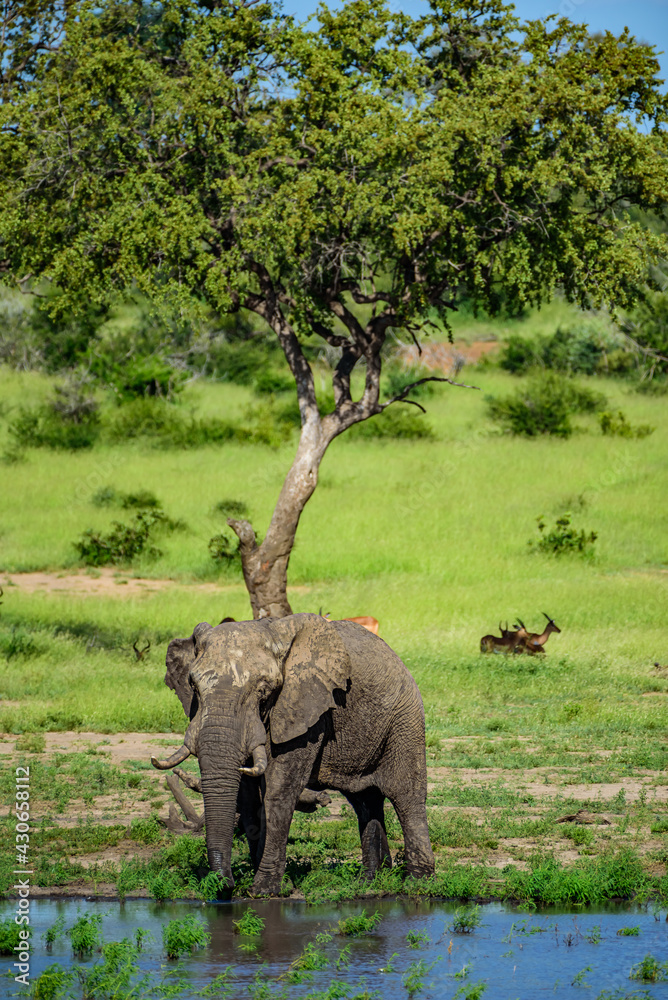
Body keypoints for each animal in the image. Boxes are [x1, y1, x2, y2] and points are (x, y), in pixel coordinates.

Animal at [151, 612, 435, 895]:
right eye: (192, 685)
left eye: (263, 690)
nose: (224, 884)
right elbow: (248, 797)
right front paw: (268, 884)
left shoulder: (307, 707)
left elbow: (279, 789)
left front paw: (263, 891)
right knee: (364, 801)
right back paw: (370, 881)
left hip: (404, 718)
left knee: (406, 797)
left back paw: (417, 882)